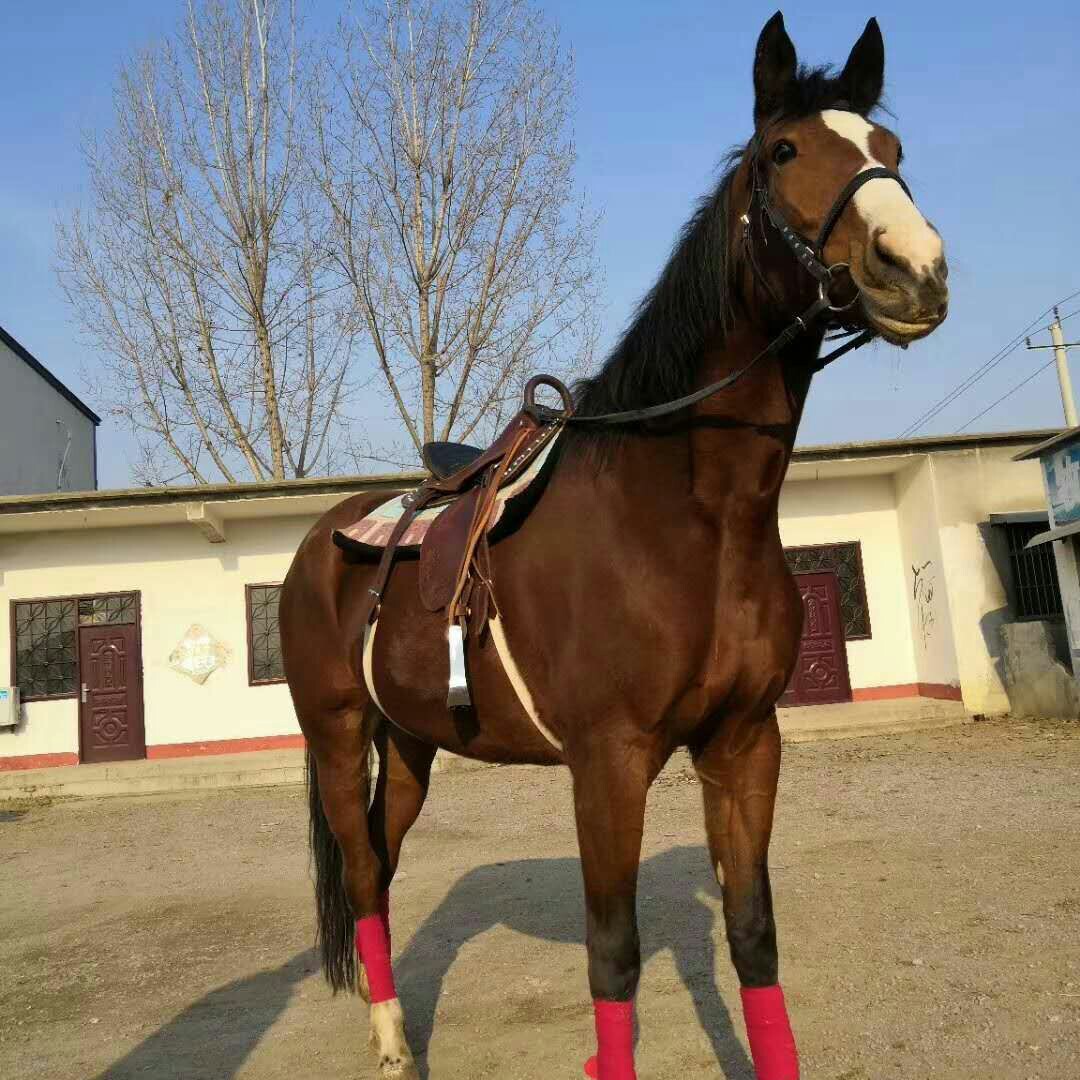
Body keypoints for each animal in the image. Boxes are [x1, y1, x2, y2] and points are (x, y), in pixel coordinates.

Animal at [280, 11, 949, 1079]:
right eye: (782, 152)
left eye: (892, 149)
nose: (913, 268)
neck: (686, 523)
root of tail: (319, 542)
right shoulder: (610, 763)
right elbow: (614, 958)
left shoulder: (745, 743)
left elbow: (754, 936)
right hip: (341, 739)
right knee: (361, 874)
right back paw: (389, 1042)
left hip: (413, 745)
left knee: (379, 864)